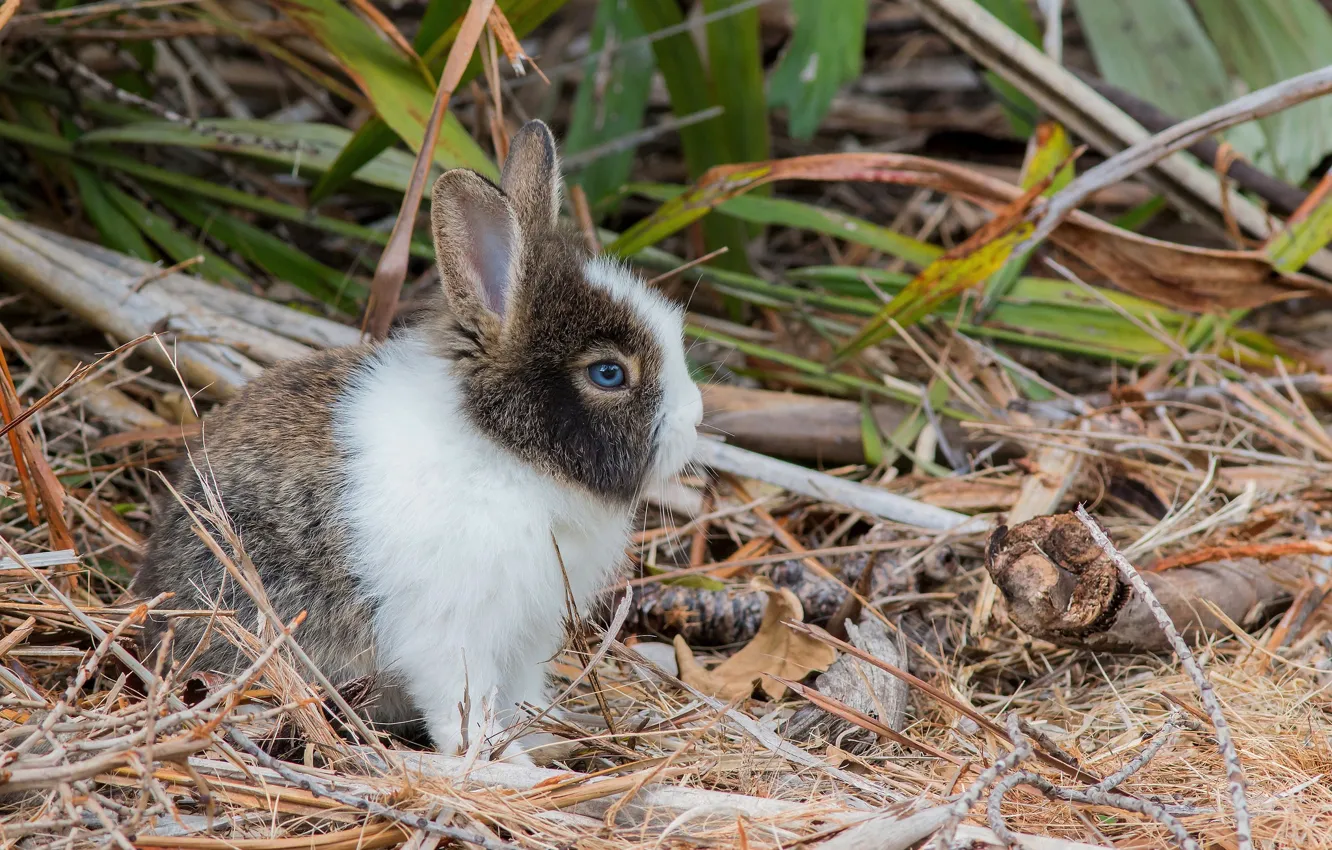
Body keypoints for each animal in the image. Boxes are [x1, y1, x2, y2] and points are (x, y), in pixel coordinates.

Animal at [129, 119, 703, 767]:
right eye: (608, 374)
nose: (695, 420)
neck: (506, 451)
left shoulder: (527, 636)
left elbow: (519, 696)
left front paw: (537, 741)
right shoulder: (452, 633)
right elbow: (463, 709)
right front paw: (504, 767)